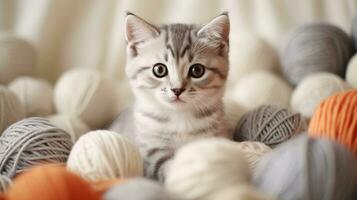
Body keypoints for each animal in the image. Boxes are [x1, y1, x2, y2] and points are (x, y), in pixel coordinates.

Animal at [115, 12, 229, 181]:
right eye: (159, 70)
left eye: (197, 70)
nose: (177, 90)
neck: (180, 118)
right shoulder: (150, 153)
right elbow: (166, 167)